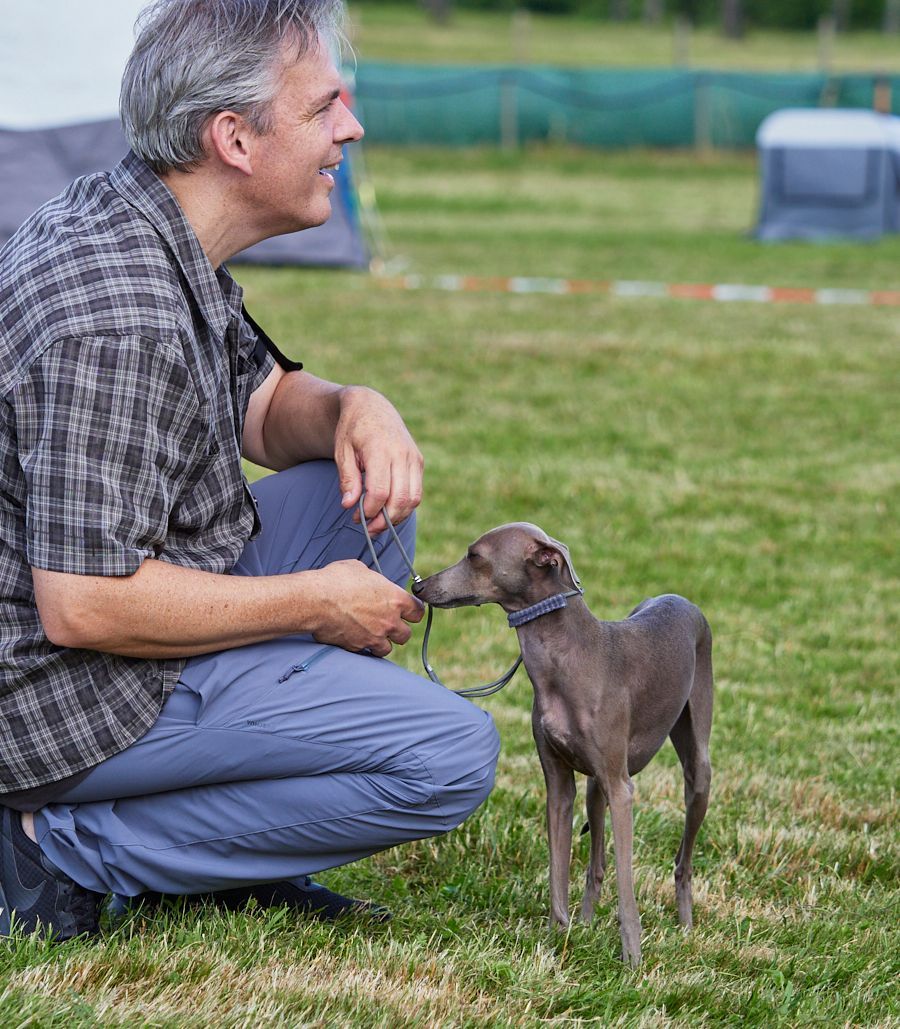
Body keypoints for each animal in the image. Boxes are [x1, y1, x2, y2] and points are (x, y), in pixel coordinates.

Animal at [414, 522, 713, 966]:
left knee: (683, 861)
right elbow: (559, 871)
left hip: (695, 766)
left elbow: (627, 889)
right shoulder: (558, 784)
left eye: (474, 556)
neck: (569, 657)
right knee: (597, 863)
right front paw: (561, 938)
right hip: (593, 789)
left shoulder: (622, 789)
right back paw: (588, 922)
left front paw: (633, 959)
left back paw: (686, 926)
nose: (419, 587)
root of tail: (682, 600)